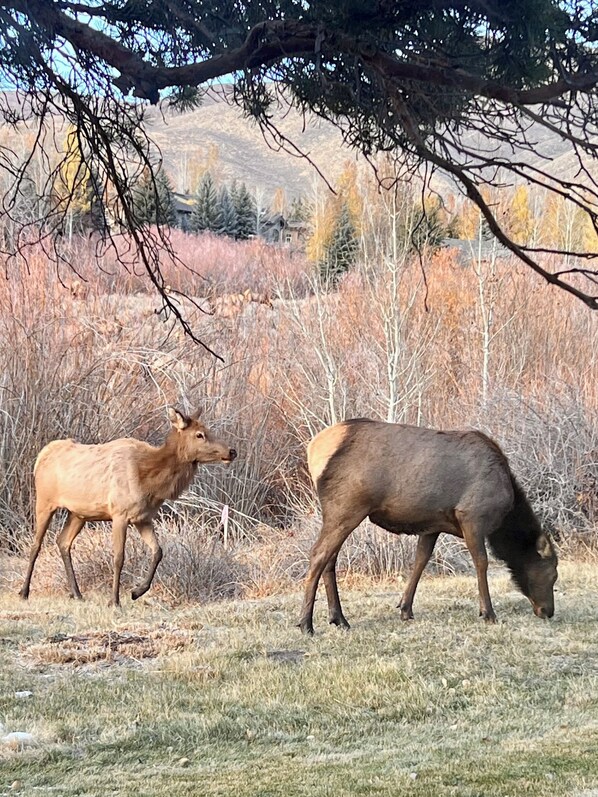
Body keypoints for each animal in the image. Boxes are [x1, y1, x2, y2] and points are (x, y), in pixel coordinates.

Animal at [19, 408, 237, 606]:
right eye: (199, 434)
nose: (232, 451)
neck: (150, 482)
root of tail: (41, 456)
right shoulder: (119, 514)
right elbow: (119, 557)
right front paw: (114, 601)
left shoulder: (143, 518)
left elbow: (158, 551)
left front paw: (137, 592)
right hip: (45, 501)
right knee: (36, 545)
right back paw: (24, 592)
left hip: (78, 514)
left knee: (63, 541)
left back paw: (77, 593)